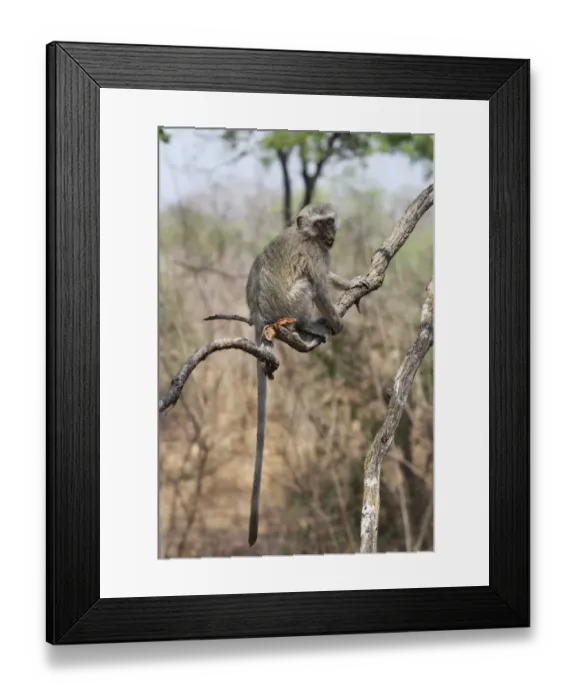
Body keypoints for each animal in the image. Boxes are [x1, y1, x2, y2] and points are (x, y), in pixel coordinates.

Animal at [245, 202, 364, 546]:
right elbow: (321, 287)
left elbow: (329, 279)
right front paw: (336, 321)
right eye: (321, 223)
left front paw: (349, 283)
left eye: (330, 221)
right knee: (308, 287)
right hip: (290, 307)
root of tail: (261, 316)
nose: (331, 235)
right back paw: (307, 324)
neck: (306, 235)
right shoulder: (313, 253)